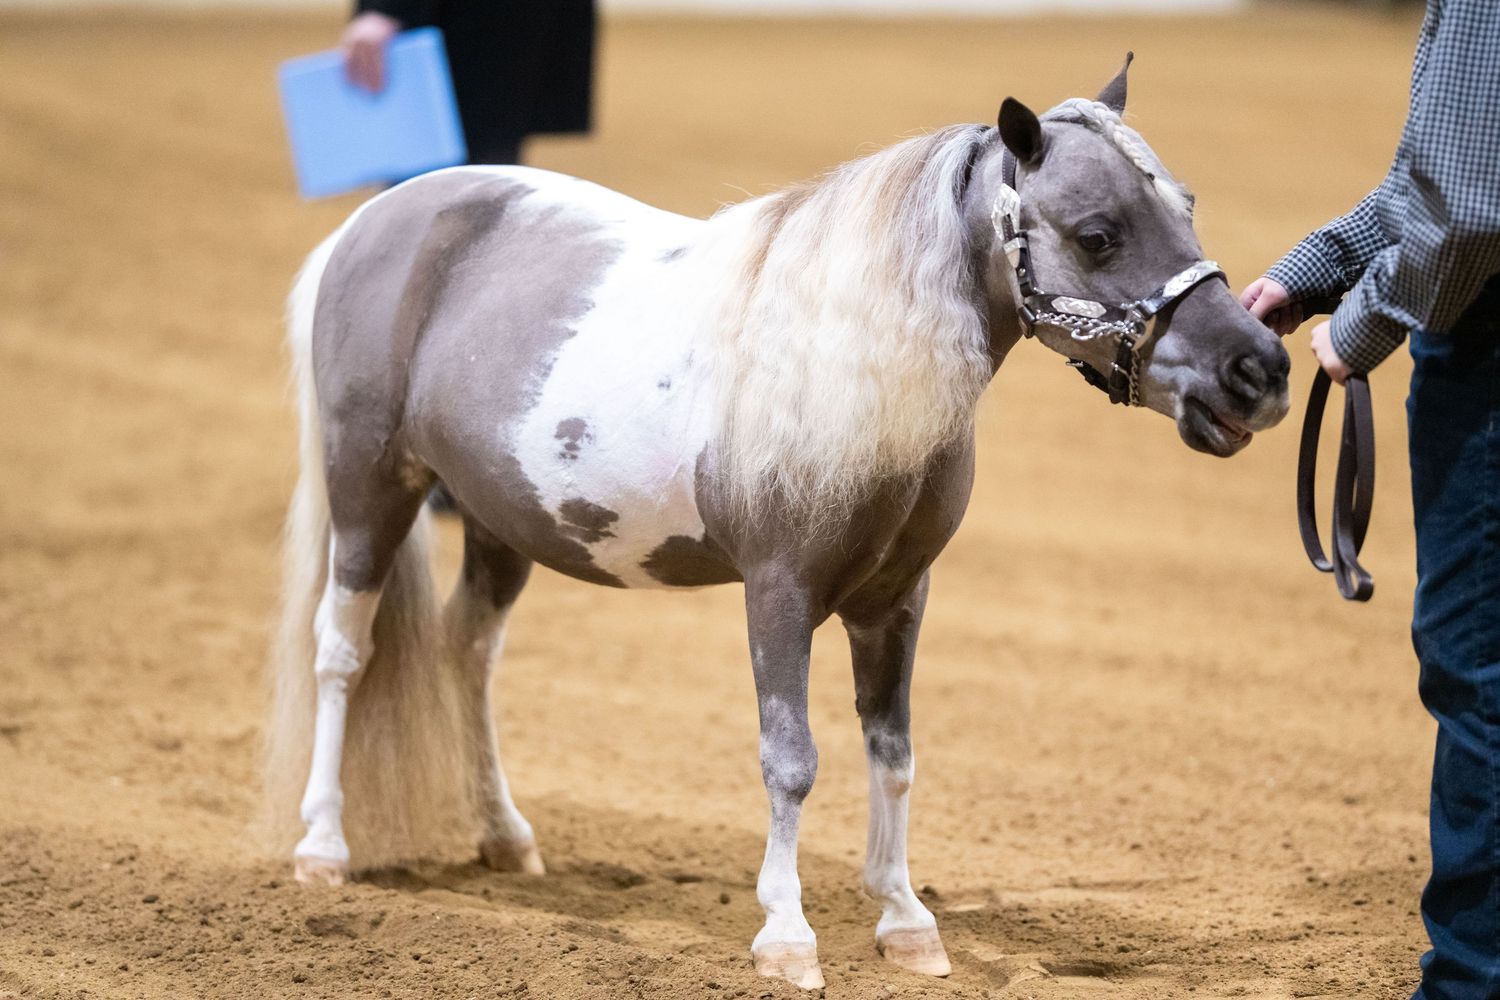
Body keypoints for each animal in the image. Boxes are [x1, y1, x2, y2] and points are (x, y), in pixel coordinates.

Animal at [264, 56, 1290, 990]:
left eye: (1185, 205)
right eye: (1098, 233)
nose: (1261, 369)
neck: (850, 365)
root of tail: (373, 223)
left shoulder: (896, 601)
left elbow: (894, 753)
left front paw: (906, 923)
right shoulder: (779, 594)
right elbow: (791, 760)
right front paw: (788, 939)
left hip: (496, 522)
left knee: (467, 651)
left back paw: (505, 839)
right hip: (371, 489)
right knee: (341, 650)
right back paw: (322, 848)